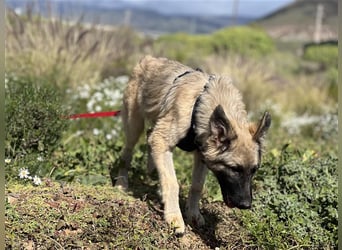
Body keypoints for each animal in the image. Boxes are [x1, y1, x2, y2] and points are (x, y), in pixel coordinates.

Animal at [113, 55, 272, 235]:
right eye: (234, 169)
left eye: (254, 170)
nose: (246, 205)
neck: (201, 104)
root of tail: (150, 59)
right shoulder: (162, 139)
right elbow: (172, 182)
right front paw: (174, 217)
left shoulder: (201, 154)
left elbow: (197, 186)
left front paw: (193, 214)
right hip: (134, 125)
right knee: (127, 153)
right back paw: (122, 183)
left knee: (149, 138)